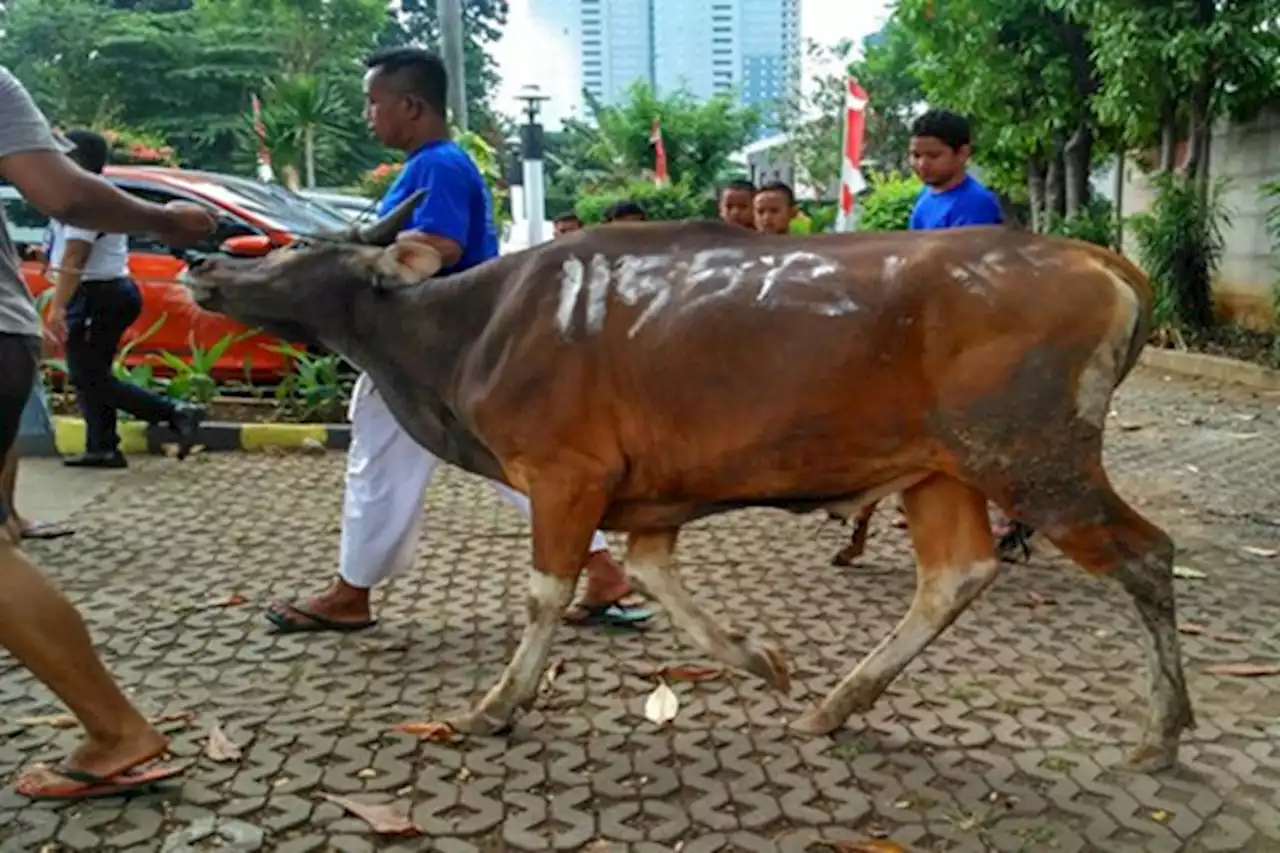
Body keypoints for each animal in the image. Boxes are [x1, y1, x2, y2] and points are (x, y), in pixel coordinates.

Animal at [185, 199, 1192, 768]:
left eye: (292, 249)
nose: (203, 261)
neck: (467, 330)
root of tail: (1107, 261)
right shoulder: (650, 496)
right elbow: (653, 573)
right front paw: (762, 659)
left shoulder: (564, 472)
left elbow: (546, 592)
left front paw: (496, 705)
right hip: (941, 467)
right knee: (954, 575)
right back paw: (836, 702)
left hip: (1034, 457)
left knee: (1147, 554)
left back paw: (1162, 730)